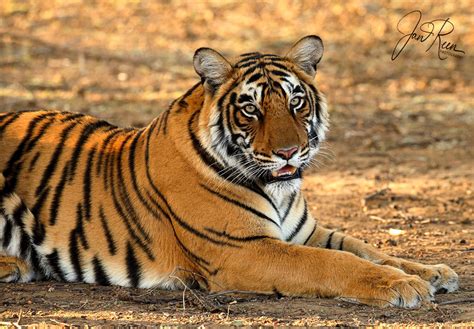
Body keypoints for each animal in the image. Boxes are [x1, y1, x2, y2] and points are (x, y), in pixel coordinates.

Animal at [0, 34, 460, 306]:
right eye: (250, 108)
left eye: (295, 101)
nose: (289, 152)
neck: (278, 190)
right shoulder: (242, 249)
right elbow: (334, 263)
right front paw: (402, 286)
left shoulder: (305, 232)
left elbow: (367, 248)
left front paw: (434, 272)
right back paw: (16, 265)